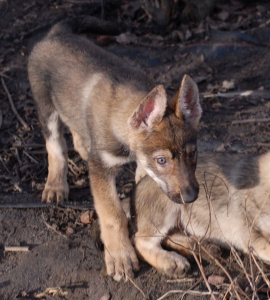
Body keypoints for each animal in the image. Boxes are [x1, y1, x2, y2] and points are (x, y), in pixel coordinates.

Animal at [28, 17, 202, 282]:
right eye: (162, 160)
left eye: (192, 154)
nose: (192, 197)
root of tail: (57, 31)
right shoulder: (101, 168)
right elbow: (112, 215)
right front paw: (120, 257)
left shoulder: (140, 163)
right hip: (45, 107)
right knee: (55, 145)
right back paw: (56, 184)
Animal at [128, 151, 270, 278]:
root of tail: (136, 187)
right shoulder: (251, 234)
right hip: (167, 211)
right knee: (139, 240)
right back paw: (171, 262)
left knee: (170, 236)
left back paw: (201, 247)